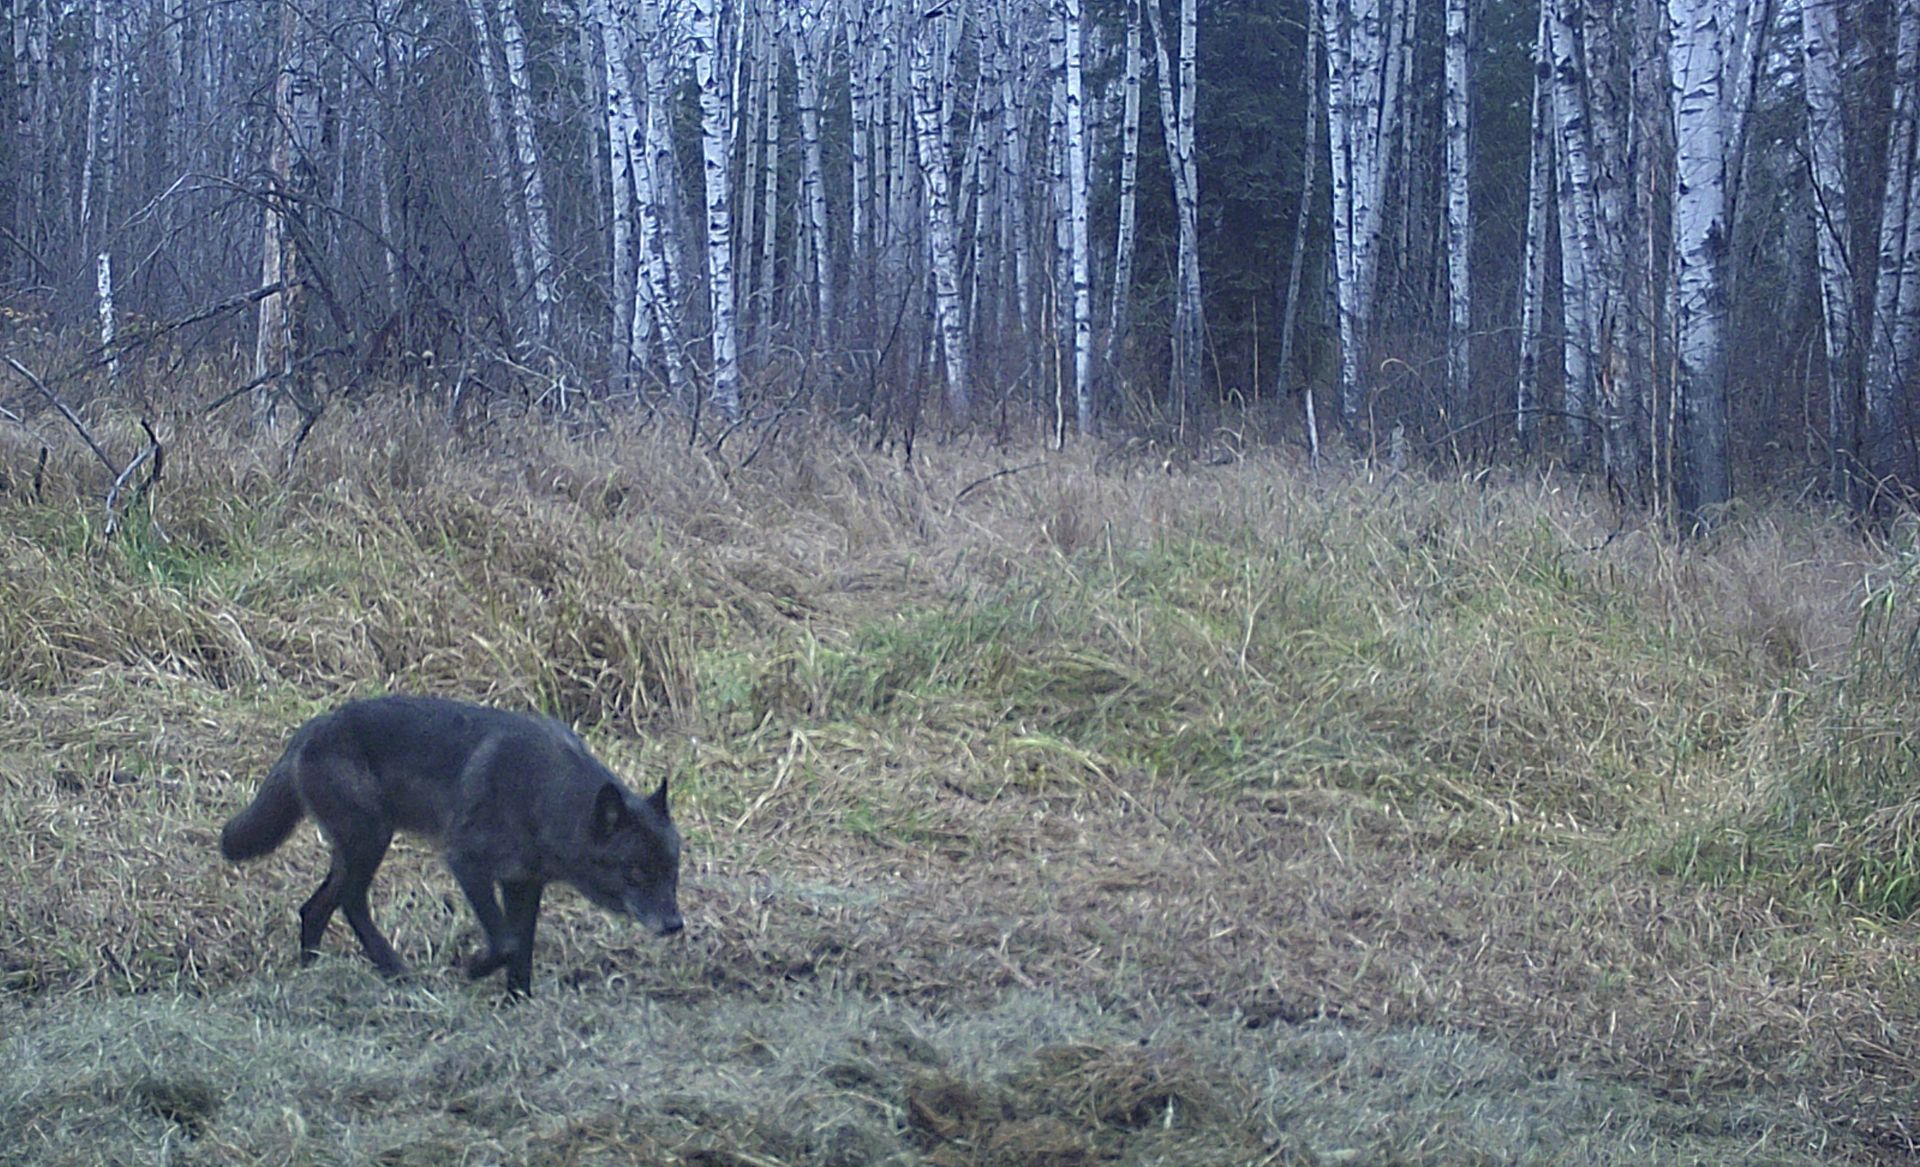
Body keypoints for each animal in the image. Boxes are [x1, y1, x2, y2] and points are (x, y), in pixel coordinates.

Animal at [220, 695, 683, 995]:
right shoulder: (466, 863)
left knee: (314, 908)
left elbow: (522, 949)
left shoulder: (523, 884)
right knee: (350, 903)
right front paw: (475, 969)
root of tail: (313, 727)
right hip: (370, 843)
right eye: (636, 872)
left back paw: (312, 974)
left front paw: (517, 1004)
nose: (675, 925)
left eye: (673, 873)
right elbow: (506, 943)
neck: (544, 792)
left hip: (356, 850)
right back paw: (395, 972)